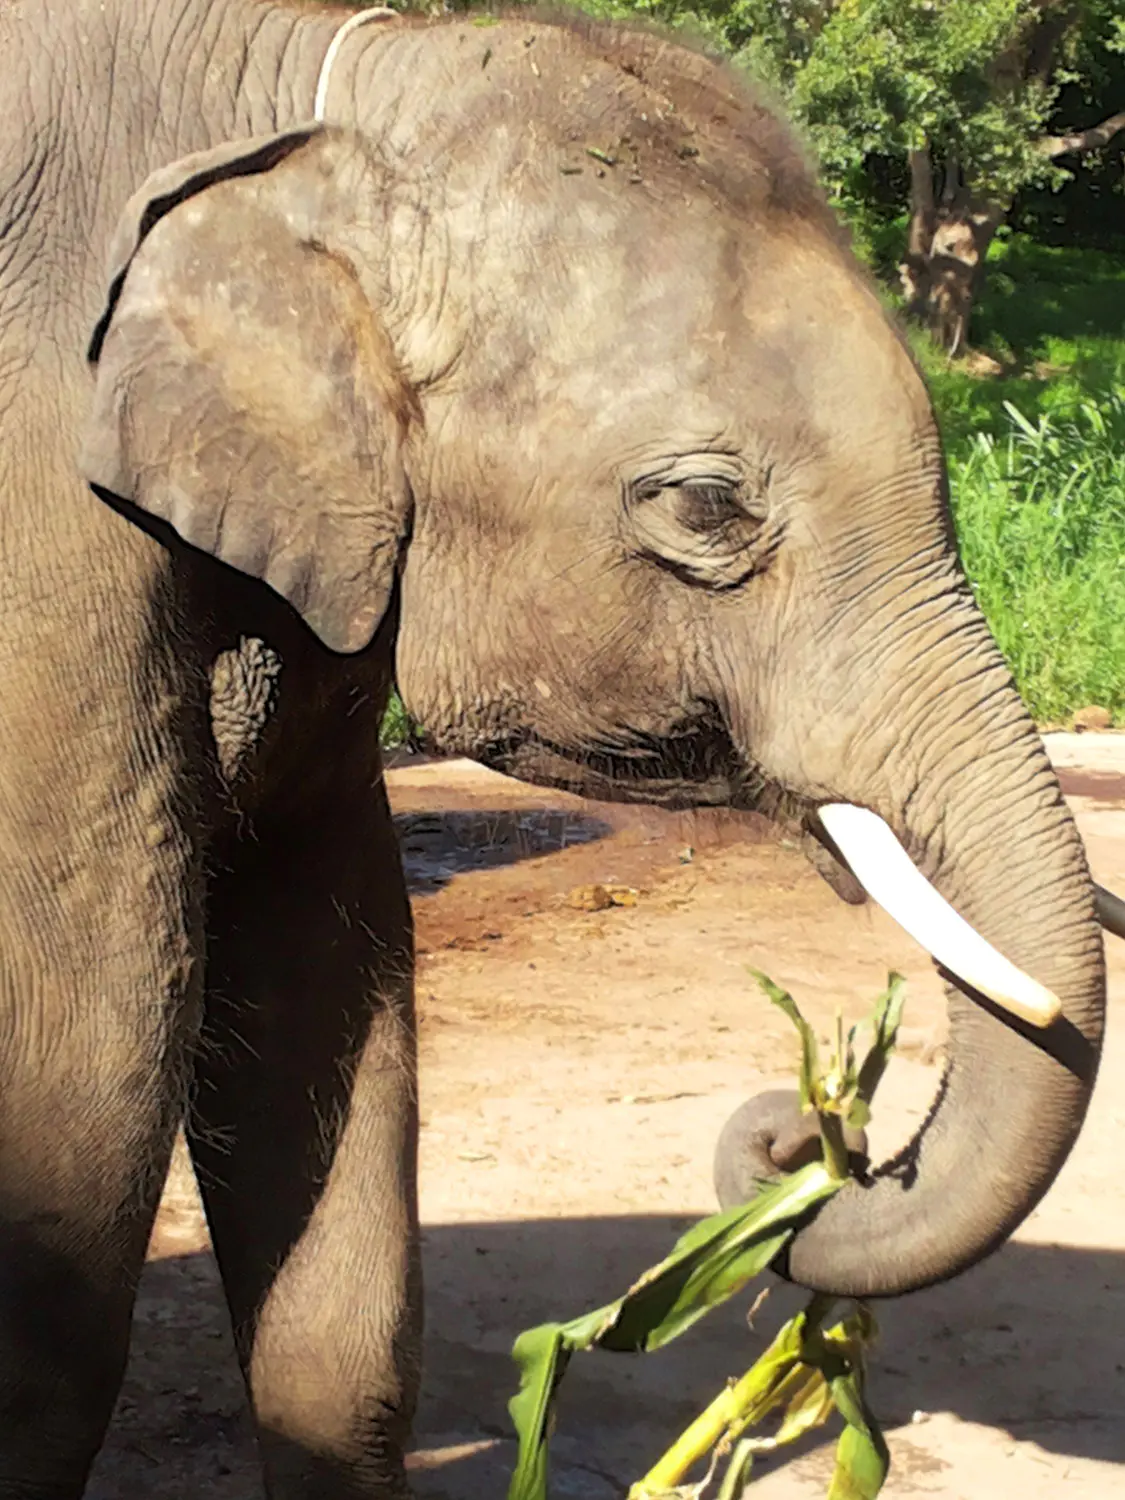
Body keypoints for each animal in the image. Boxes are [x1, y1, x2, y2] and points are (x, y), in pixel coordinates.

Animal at [0, 0, 1120, 1494]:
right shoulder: (41, 532)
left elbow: (329, 977)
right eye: (707, 508)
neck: (314, 91)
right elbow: (90, 1021)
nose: (806, 1137)